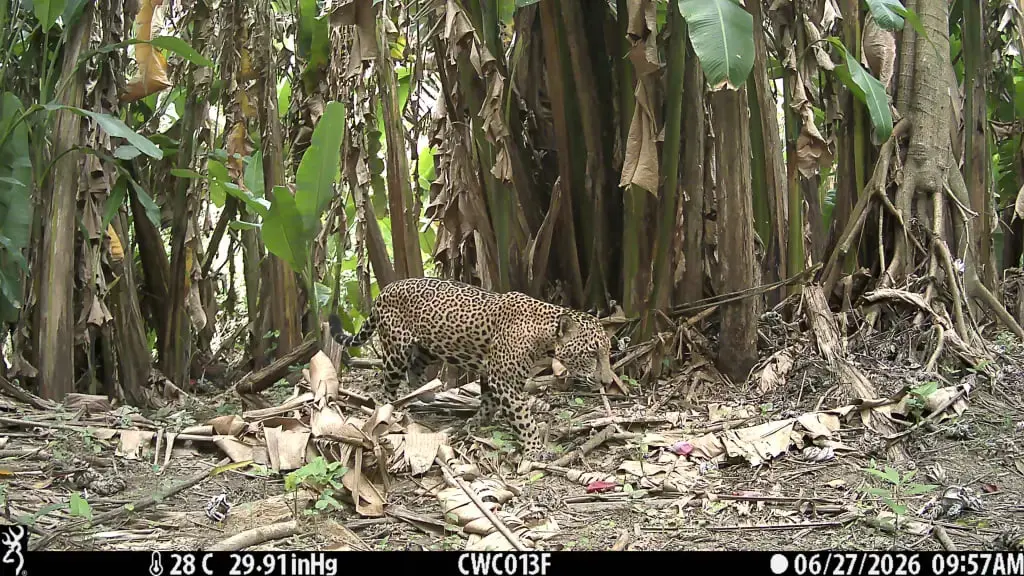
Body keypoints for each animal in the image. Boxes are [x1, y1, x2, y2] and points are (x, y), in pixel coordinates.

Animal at [328, 276, 617, 461]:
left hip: (429, 347)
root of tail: (384, 290)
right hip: (395, 349)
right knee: (388, 383)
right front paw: (535, 449)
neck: (541, 333)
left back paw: (427, 394)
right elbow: (524, 418)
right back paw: (388, 411)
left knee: (416, 370)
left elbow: (488, 403)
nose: (607, 382)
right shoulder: (505, 380)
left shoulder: (492, 374)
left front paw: (474, 424)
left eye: (606, 353)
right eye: (592, 354)